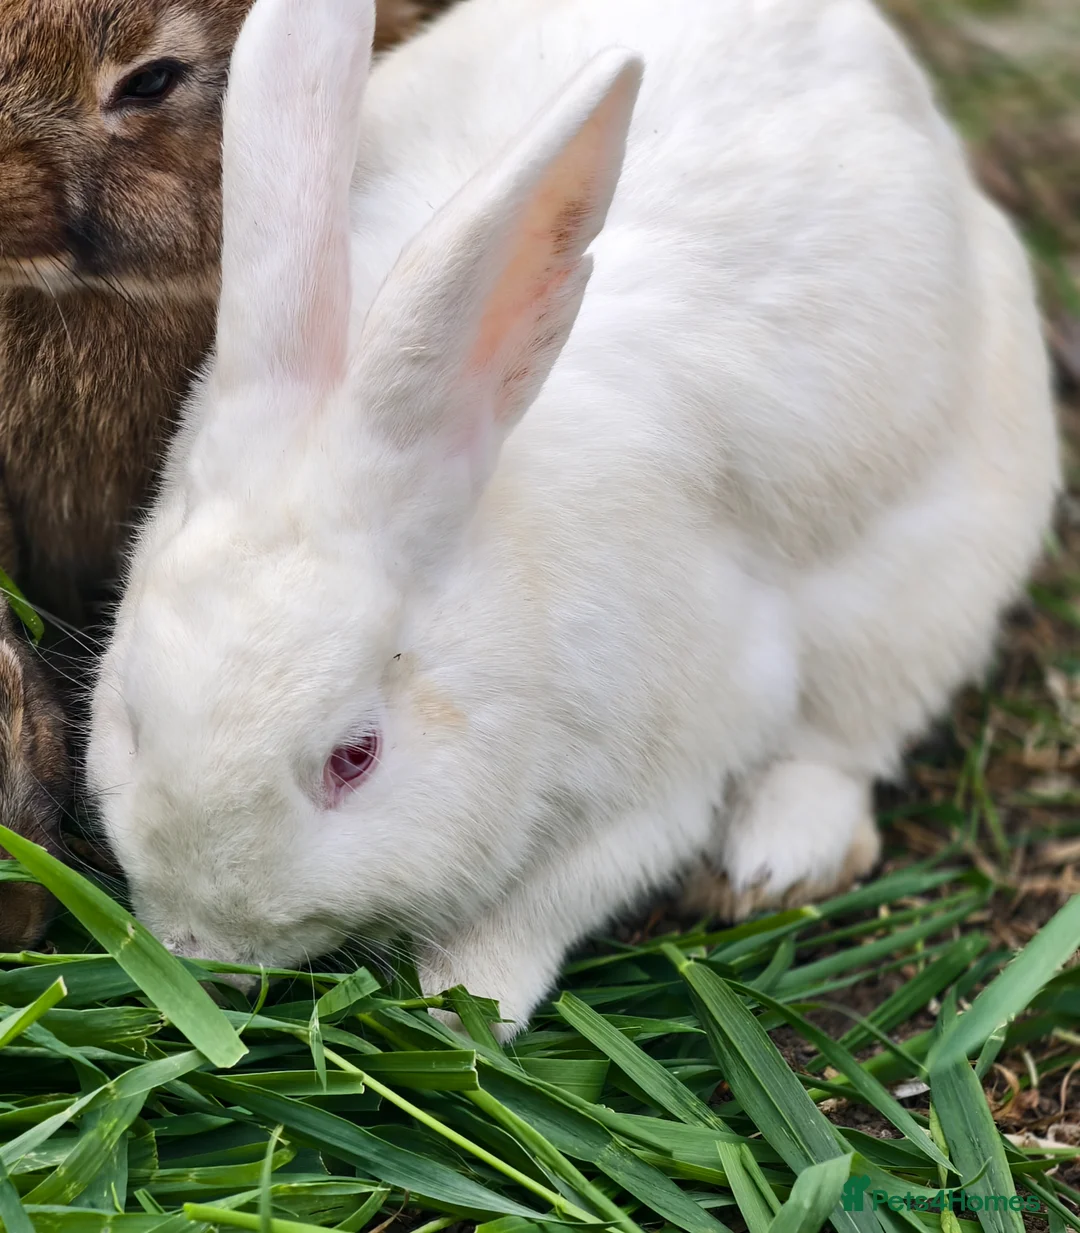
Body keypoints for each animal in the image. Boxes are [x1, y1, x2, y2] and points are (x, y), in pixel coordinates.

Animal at [87, 0, 1059, 1038]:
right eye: (133, 715)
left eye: (355, 758)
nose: (201, 945)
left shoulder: (670, 767)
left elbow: (547, 901)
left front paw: (466, 1006)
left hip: (925, 587)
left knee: (847, 738)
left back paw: (773, 858)